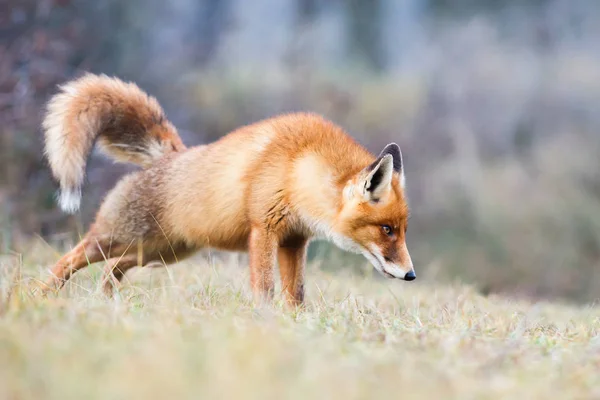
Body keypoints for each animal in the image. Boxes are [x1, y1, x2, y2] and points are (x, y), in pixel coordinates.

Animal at [41, 73, 412, 304]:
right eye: (386, 229)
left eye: (401, 230)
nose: (411, 275)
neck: (298, 170)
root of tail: (171, 154)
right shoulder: (264, 229)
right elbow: (265, 288)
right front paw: (265, 323)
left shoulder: (293, 240)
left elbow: (296, 295)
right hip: (121, 237)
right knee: (70, 258)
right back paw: (39, 295)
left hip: (165, 251)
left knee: (113, 268)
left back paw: (107, 301)